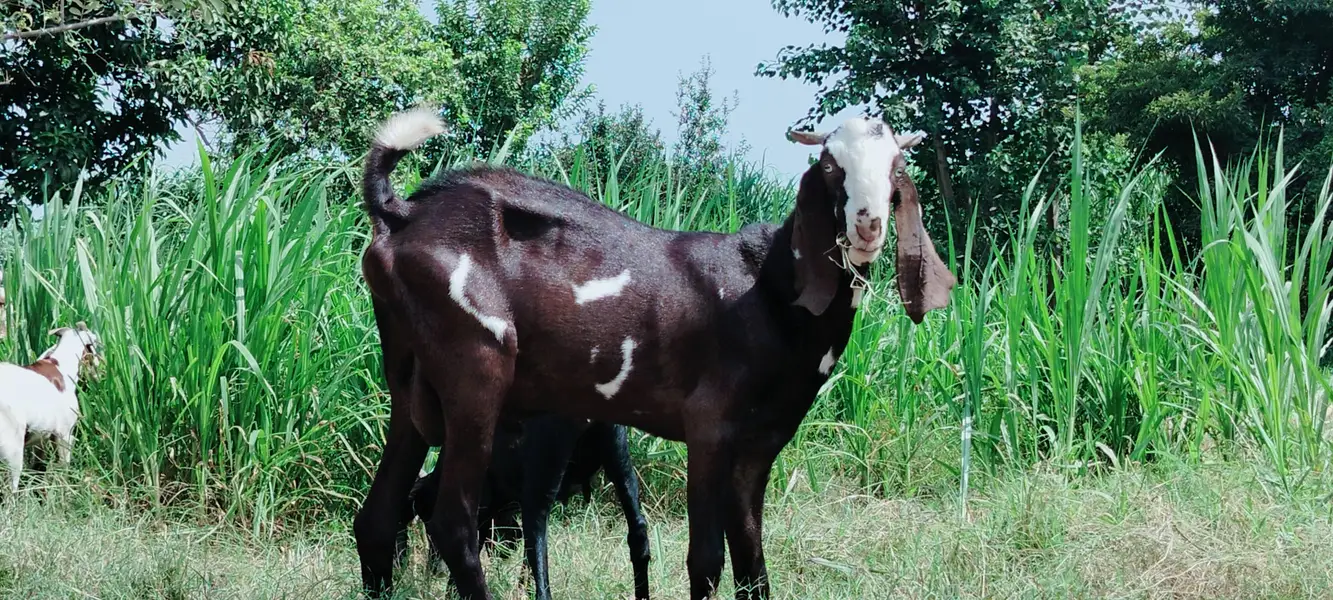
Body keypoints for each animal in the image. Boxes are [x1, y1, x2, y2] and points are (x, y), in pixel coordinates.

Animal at [0, 322, 101, 492]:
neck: (62, 364)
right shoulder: (64, 435)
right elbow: (64, 469)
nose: (101, 373)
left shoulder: (40, 437)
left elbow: (38, 470)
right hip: (13, 454)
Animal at [408, 417, 650, 600]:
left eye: (427, 520)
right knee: (638, 533)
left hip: (543, 471)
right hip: (617, 454)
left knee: (538, 551)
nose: (434, 570)